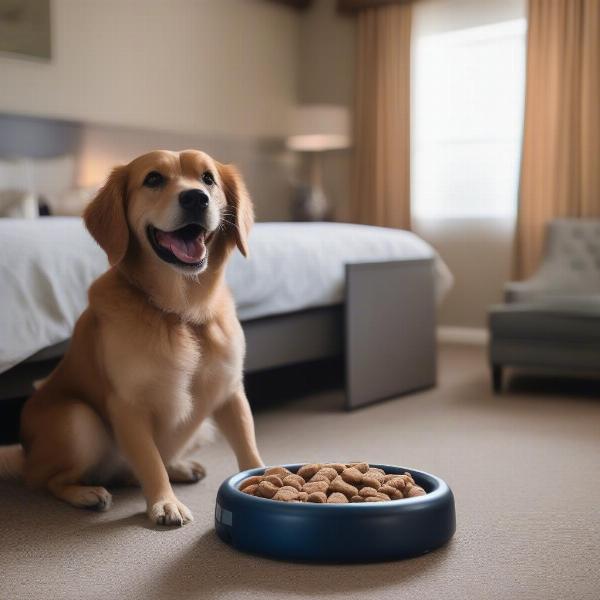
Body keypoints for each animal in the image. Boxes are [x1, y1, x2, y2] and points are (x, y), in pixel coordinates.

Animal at [0, 150, 262, 524]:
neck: (181, 313)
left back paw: (180, 467)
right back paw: (86, 493)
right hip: (78, 421)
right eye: (153, 179)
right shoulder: (128, 406)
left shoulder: (230, 393)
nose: (196, 198)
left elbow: (249, 449)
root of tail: (25, 457)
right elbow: (150, 463)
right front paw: (164, 503)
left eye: (208, 178)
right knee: (51, 480)